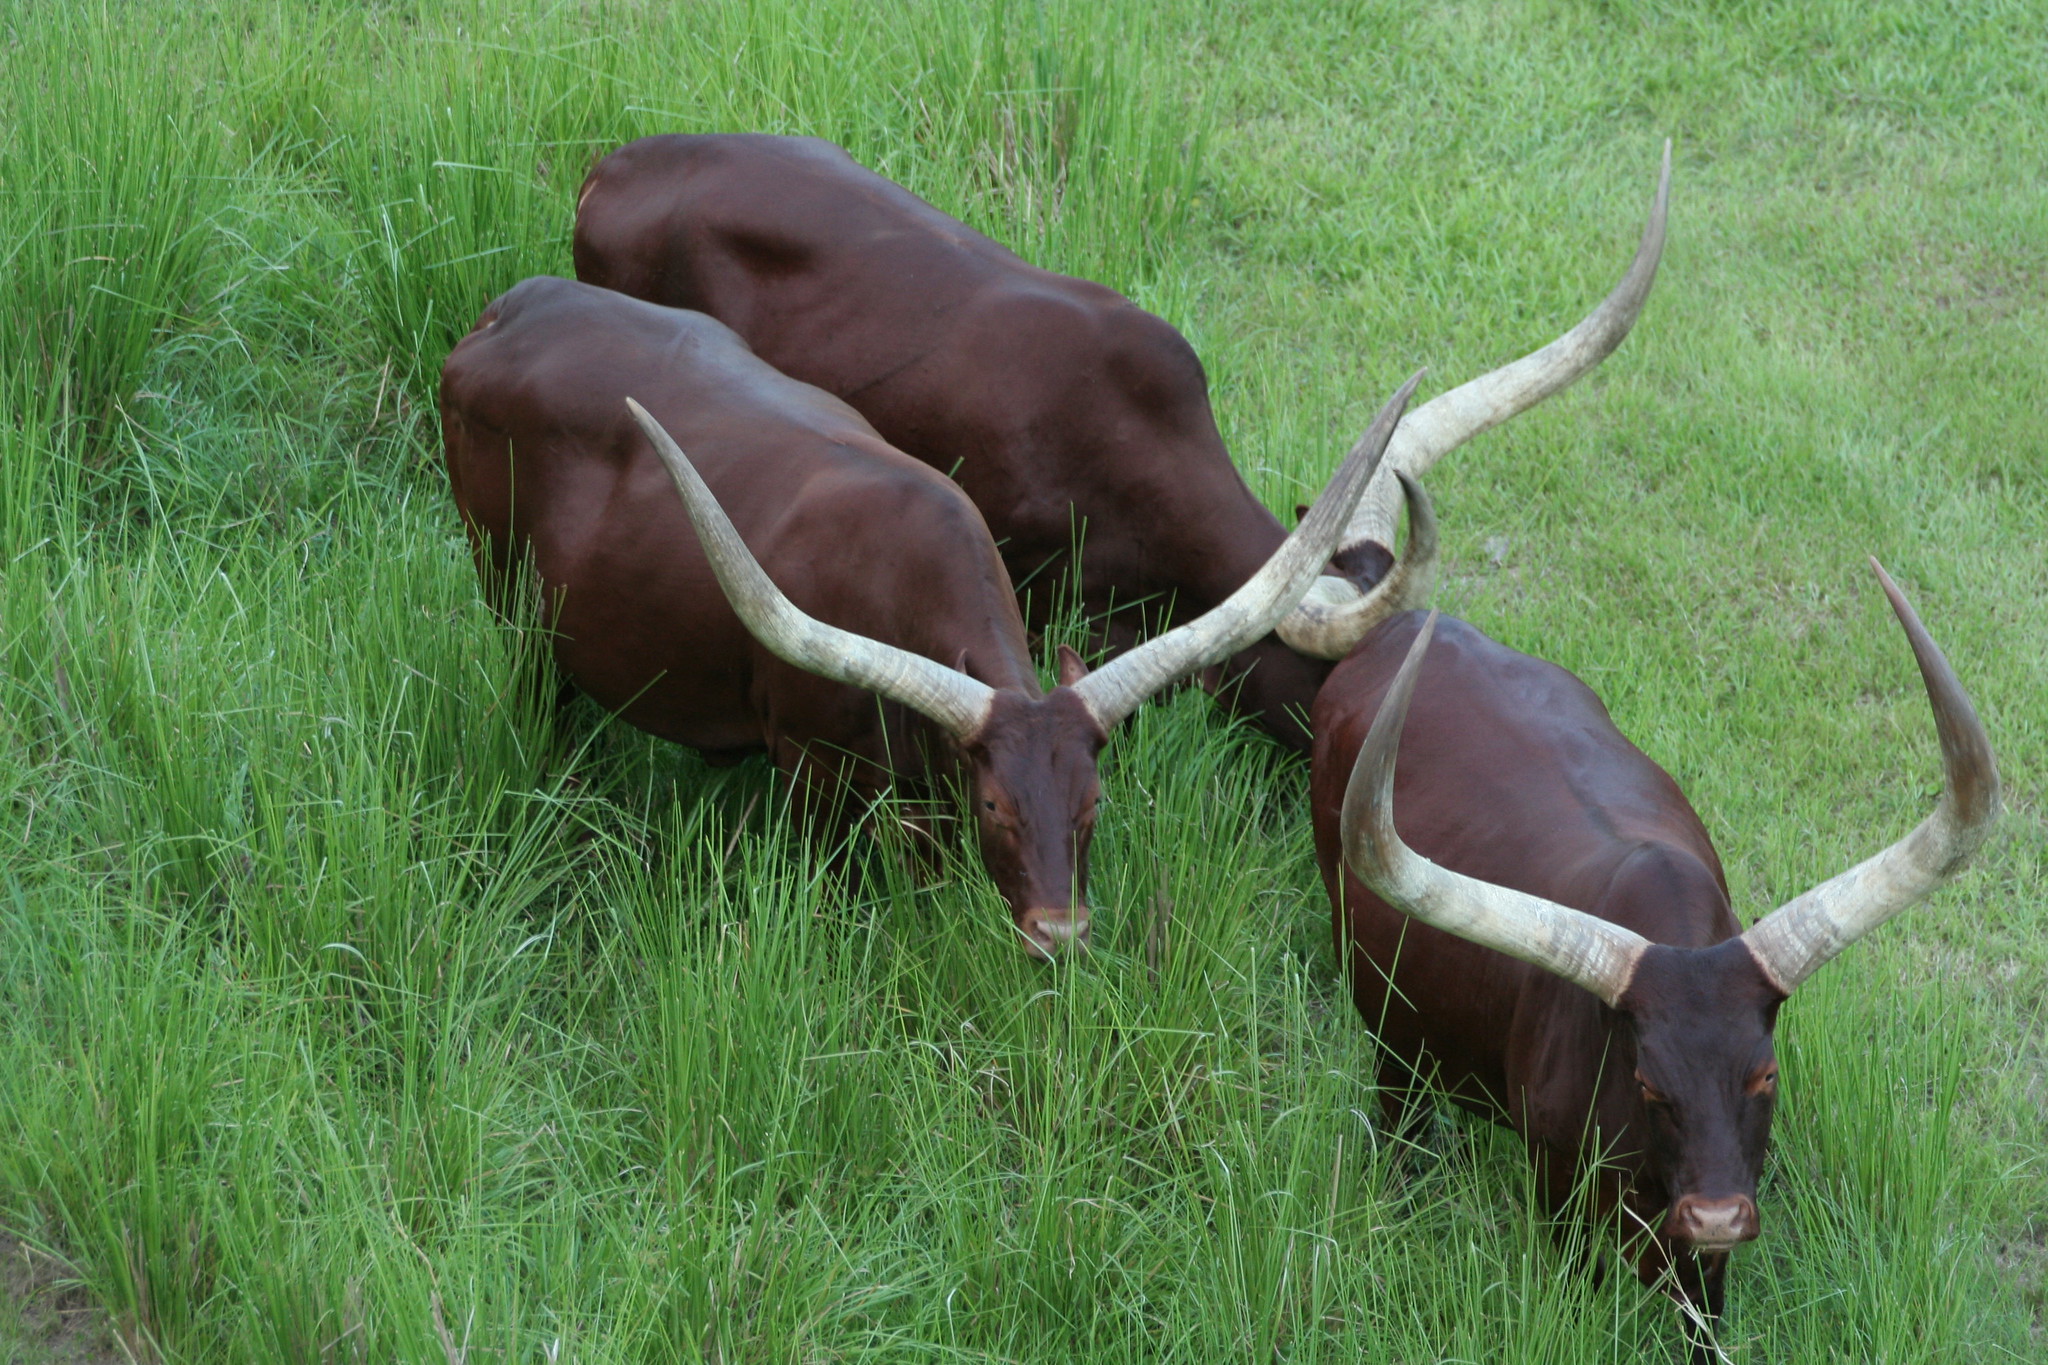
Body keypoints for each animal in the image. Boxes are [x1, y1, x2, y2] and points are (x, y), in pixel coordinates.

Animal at [442, 274, 1417, 961]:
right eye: (995, 802)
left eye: (1094, 798)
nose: (1059, 935)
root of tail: (508, 312)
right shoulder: (810, 769)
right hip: (511, 605)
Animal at [1310, 568, 1998, 1358]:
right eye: (1648, 1083)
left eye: (1765, 1074)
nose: (1717, 1217)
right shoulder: (1557, 1183)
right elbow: (1578, 1283)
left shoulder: (1712, 1234)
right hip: (1389, 1034)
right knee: (1398, 1116)